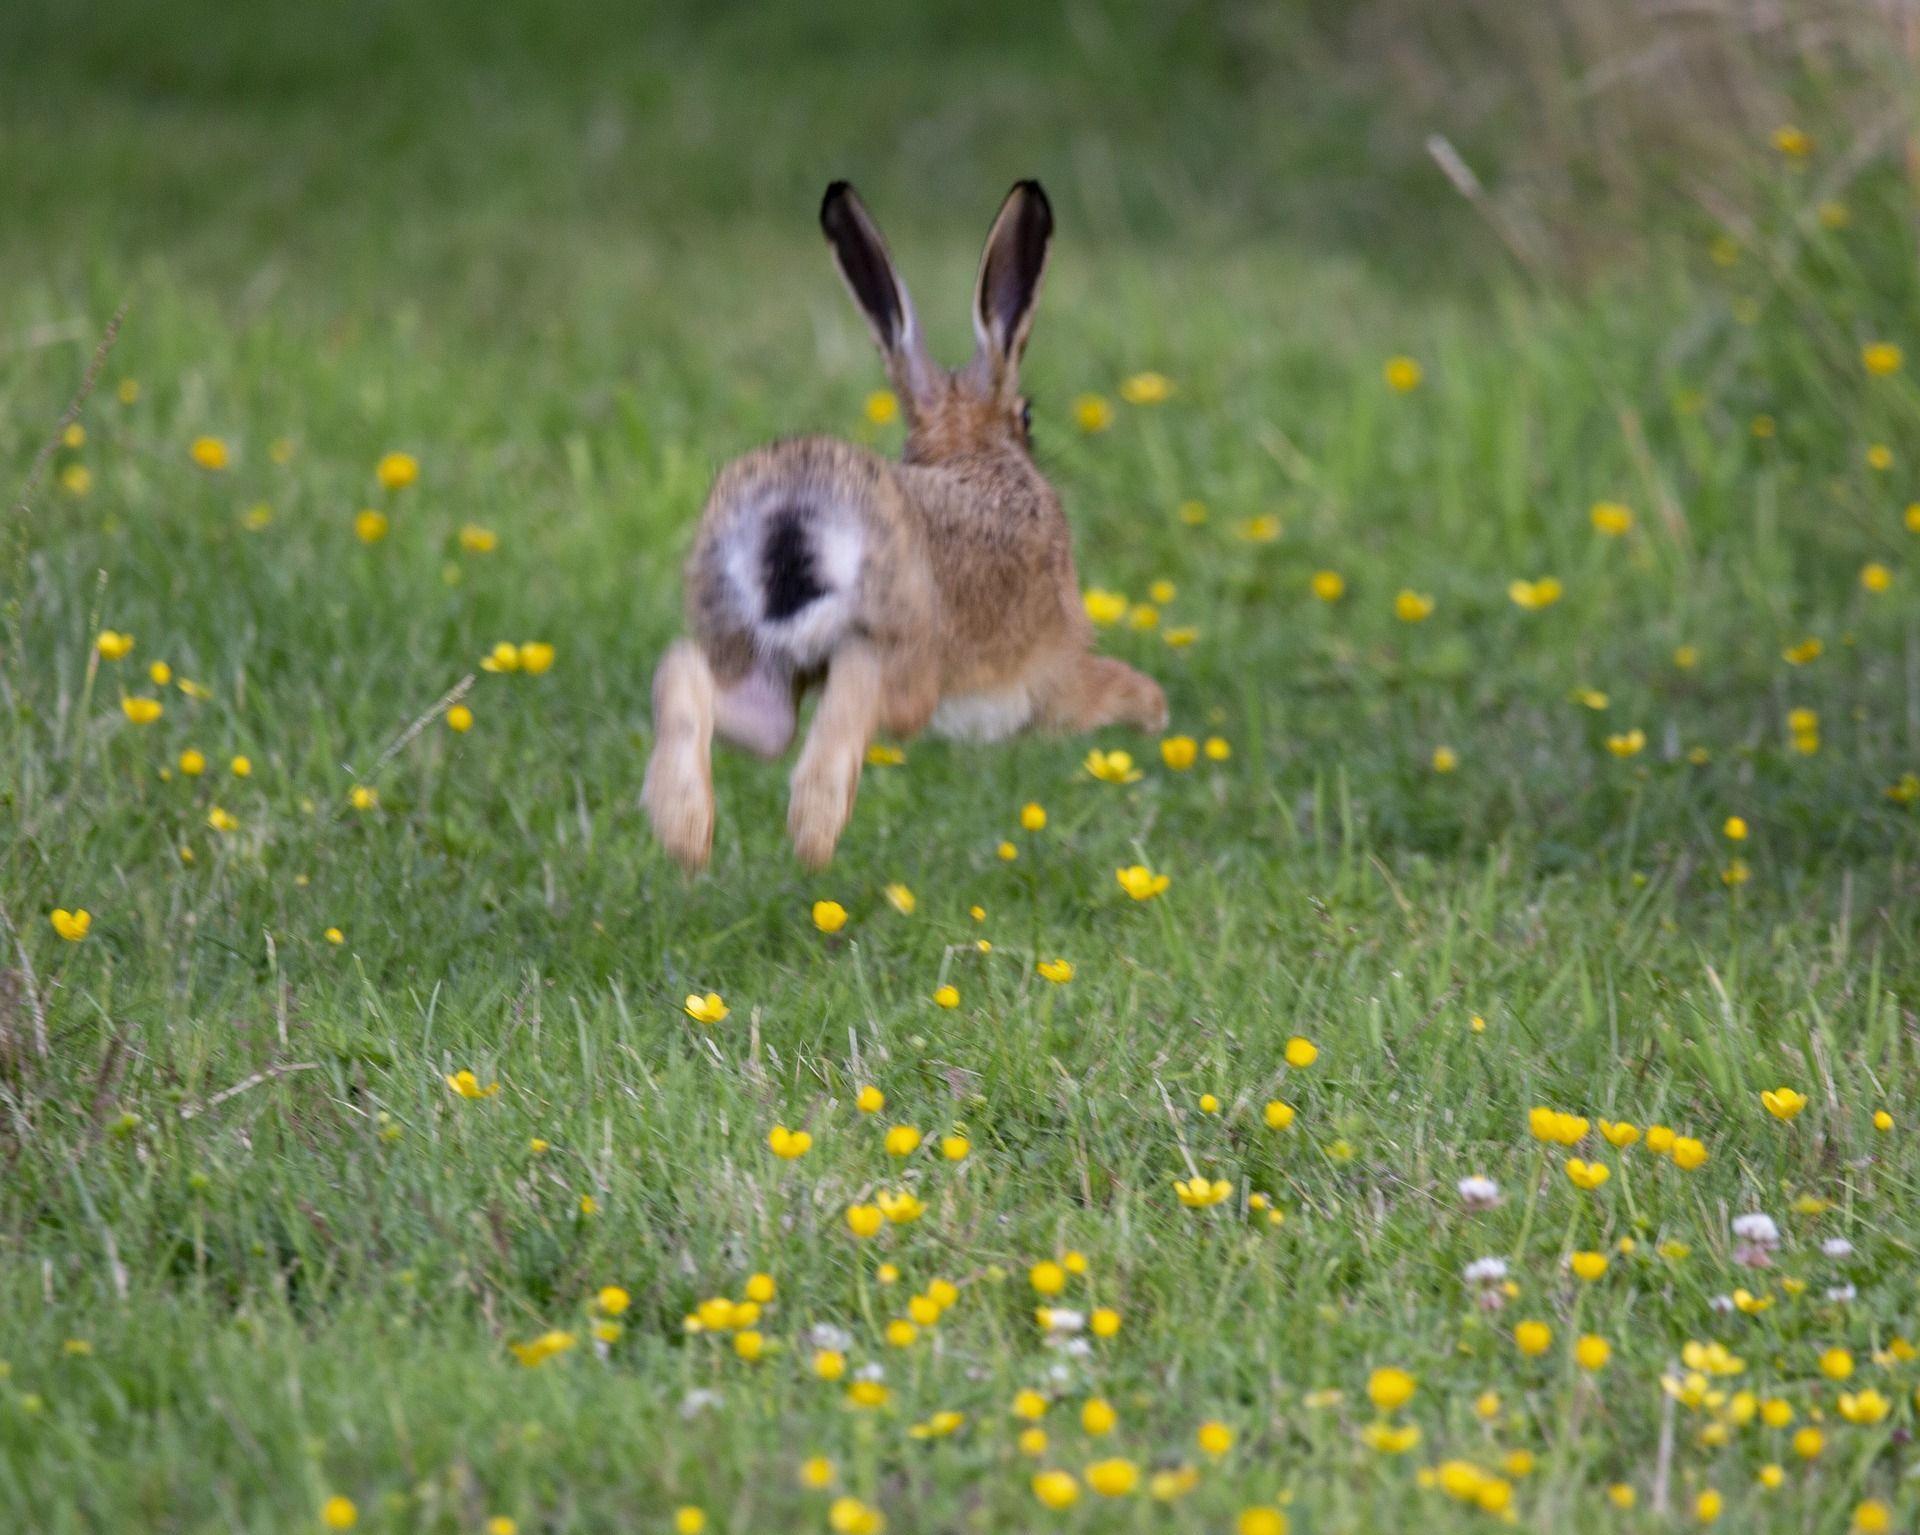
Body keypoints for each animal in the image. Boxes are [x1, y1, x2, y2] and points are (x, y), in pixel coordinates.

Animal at [643, 179, 1167, 871]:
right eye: (1027, 414)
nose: (1029, 426)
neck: (969, 453)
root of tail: (795, 510)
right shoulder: (1051, 677)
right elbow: (1106, 689)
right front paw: (1155, 712)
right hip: (909, 652)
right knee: (859, 682)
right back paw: (814, 832)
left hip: (752, 649)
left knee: (696, 677)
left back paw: (684, 830)